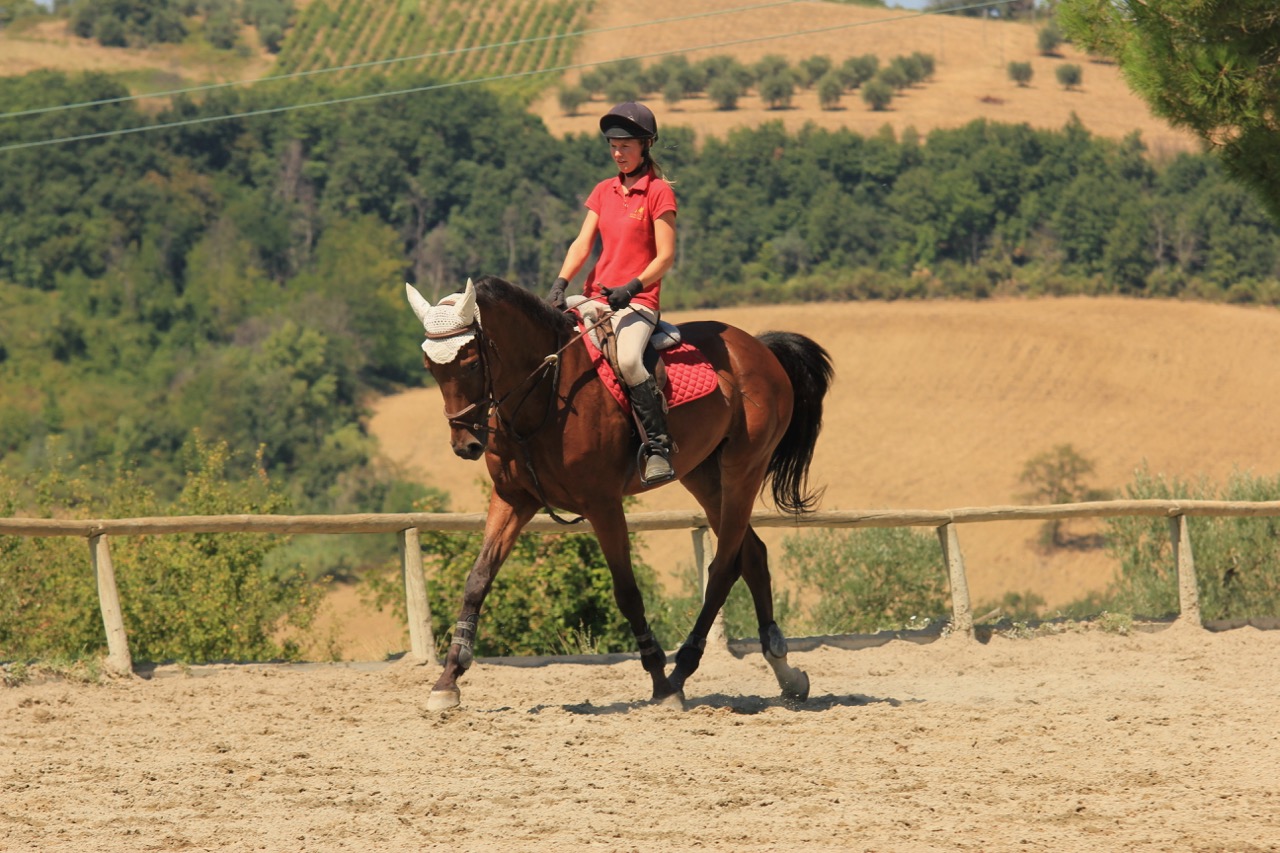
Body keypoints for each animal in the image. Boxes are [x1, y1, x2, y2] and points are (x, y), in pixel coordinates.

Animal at [405, 275, 834, 710]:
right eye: (429, 368)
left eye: (472, 363)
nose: (465, 445)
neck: (545, 394)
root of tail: (758, 347)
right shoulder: (512, 499)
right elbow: (477, 580)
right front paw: (447, 681)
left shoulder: (603, 505)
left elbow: (627, 592)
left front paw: (660, 682)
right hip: (704, 476)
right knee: (753, 556)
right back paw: (787, 675)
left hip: (742, 470)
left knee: (724, 568)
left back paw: (683, 670)